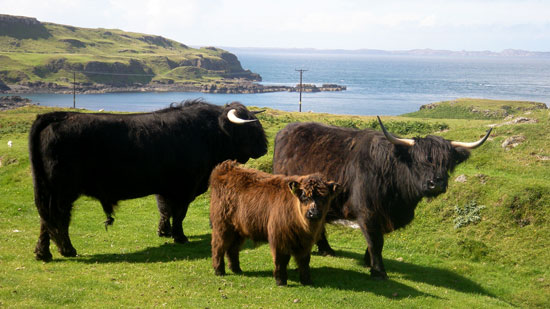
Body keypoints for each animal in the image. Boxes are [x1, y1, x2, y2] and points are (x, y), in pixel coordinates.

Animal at [29, 100, 268, 258]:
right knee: (57, 218)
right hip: (62, 192)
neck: (209, 134)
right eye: (250, 128)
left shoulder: (165, 187)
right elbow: (179, 213)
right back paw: (67, 249)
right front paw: (180, 237)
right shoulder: (185, 186)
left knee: (45, 220)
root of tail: (55, 116)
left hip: (48, 190)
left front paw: (164, 232)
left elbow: (165, 210)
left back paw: (43, 253)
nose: (265, 147)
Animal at [210, 160, 340, 286]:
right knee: (218, 246)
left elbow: (304, 261)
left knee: (232, 249)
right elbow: (281, 260)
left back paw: (236, 269)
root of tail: (226, 166)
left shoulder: (305, 243)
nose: (314, 213)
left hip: (238, 230)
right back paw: (219, 270)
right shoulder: (279, 238)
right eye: (304, 196)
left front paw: (307, 281)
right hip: (222, 226)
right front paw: (280, 281)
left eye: (324, 197)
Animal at [274, 116, 494, 278]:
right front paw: (378, 271)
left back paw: (326, 249)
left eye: (447, 163)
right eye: (419, 161)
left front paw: (368, 262)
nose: (436, 183)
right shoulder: (368, 211)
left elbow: (376, 242)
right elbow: (375, 241)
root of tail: (286, 130)